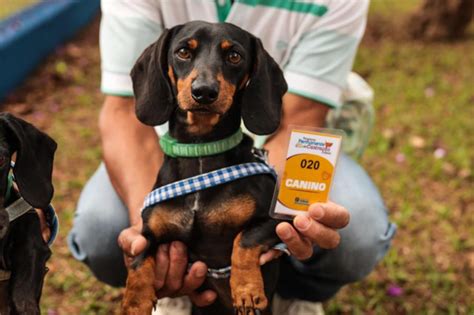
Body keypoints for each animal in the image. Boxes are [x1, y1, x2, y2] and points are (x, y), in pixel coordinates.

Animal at [120, 22, 286, 315]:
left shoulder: (275, 220)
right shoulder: (149, 233)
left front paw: (246, 289)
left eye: (234, 56)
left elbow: (245, 238)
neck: (200, 150)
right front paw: (134, 302)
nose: (204, 92)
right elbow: (139, 260)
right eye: (183, 51)